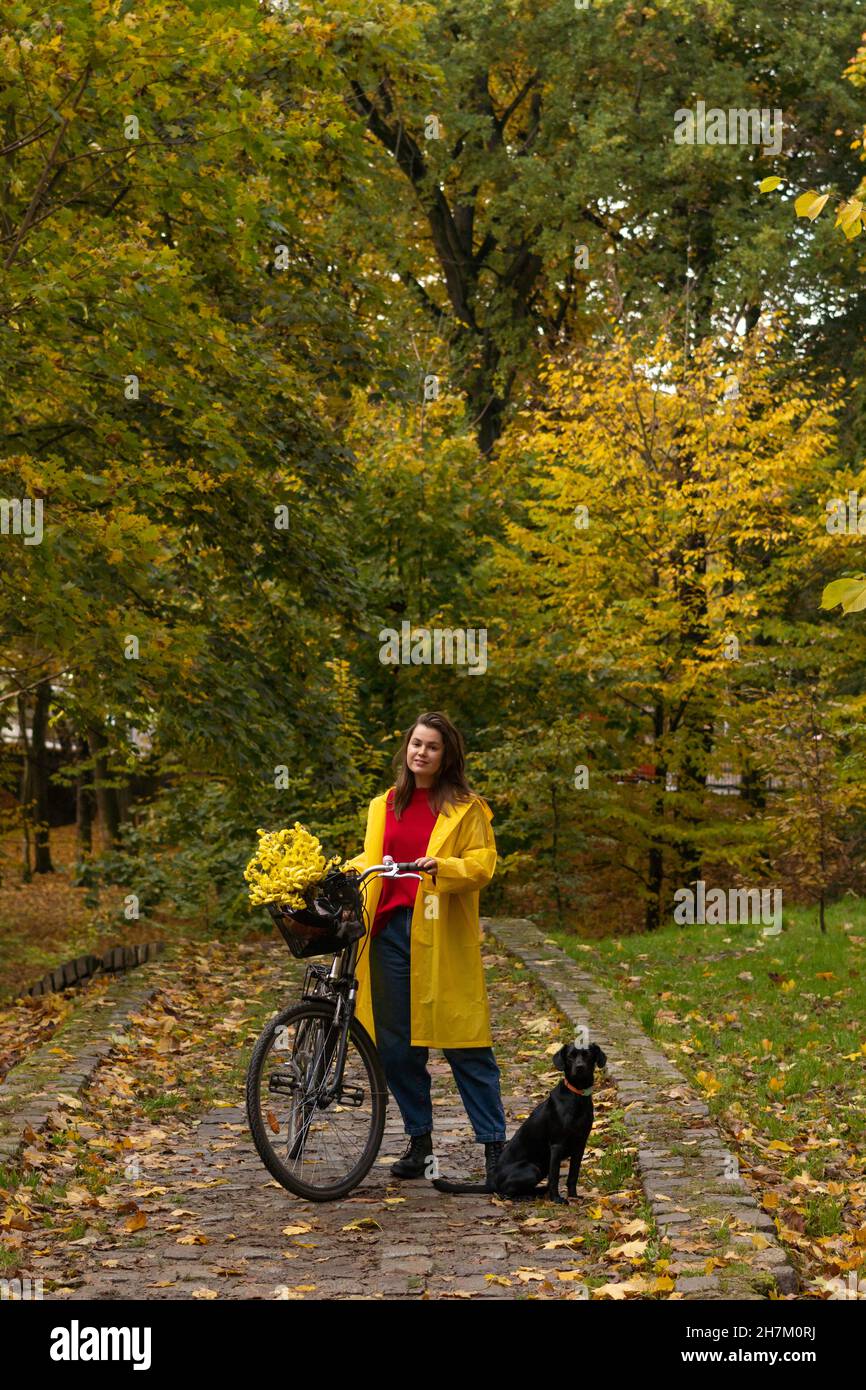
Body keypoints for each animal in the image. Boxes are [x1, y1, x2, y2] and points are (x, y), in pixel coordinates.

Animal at [430, 1045, 606, 1206]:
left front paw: (574, 1196)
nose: (580, 1067)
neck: (577, 1095)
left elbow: (573, 1175)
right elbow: (555, 1177)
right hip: (532, 1169)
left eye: (587, 1055)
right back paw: (525, 1196)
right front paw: (556, 1199)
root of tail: (492, 1182)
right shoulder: (557, 1145)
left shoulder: (580, 1145)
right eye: (570, 1056)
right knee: (503, 1192)